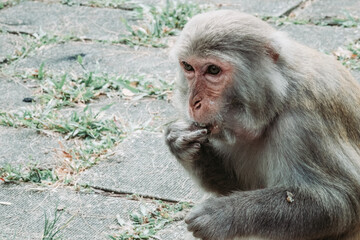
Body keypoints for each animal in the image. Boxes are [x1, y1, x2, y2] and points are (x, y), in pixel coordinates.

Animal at [165, 9, 360, 240]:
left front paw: (223, 215)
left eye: (213, 70)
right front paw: (181, 143)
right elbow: (241, 185)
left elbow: (341, 201)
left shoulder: (305, 123)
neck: (277, 101)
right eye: (188, 67)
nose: (193, 102)